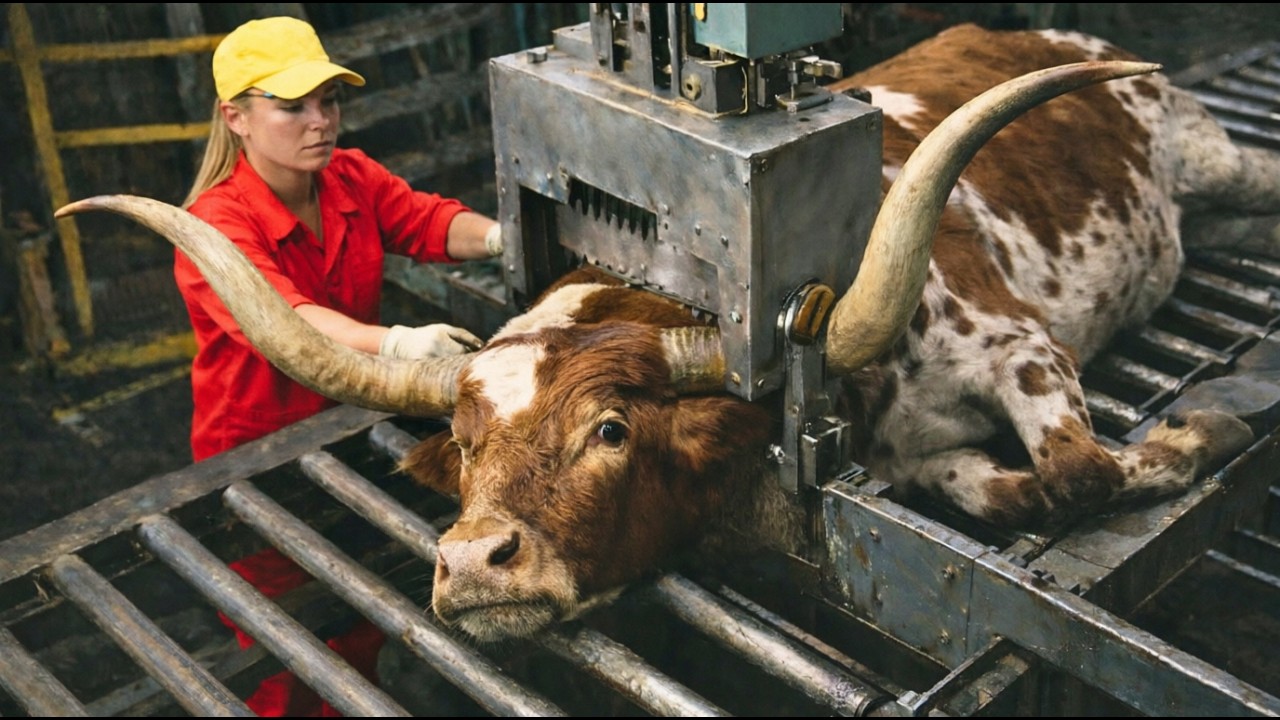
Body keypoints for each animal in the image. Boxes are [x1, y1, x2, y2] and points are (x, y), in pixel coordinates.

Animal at [58, 24, 1280, 644]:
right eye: (464, 447)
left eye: (609, 431)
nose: (470, 563)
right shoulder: (925, 454)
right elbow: (1007, 492)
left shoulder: (1019, 346)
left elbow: (1077, 475)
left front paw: (1204, 436)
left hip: (1208, 152)